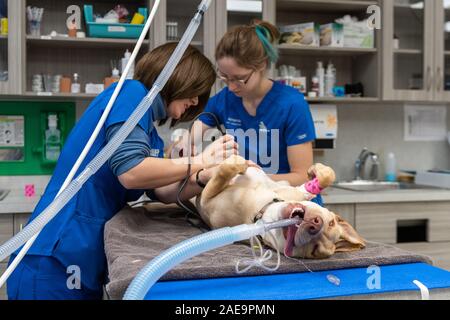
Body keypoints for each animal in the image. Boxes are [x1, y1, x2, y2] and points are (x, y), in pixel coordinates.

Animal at [197, 156, 366, 258]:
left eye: (314, 250)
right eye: (331, 222)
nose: (315, 224)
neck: (262, 207)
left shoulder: (207, 201)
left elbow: (223, 172)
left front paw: (236, 163)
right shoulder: (292, 190)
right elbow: (328, 175)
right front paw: (315, 172)